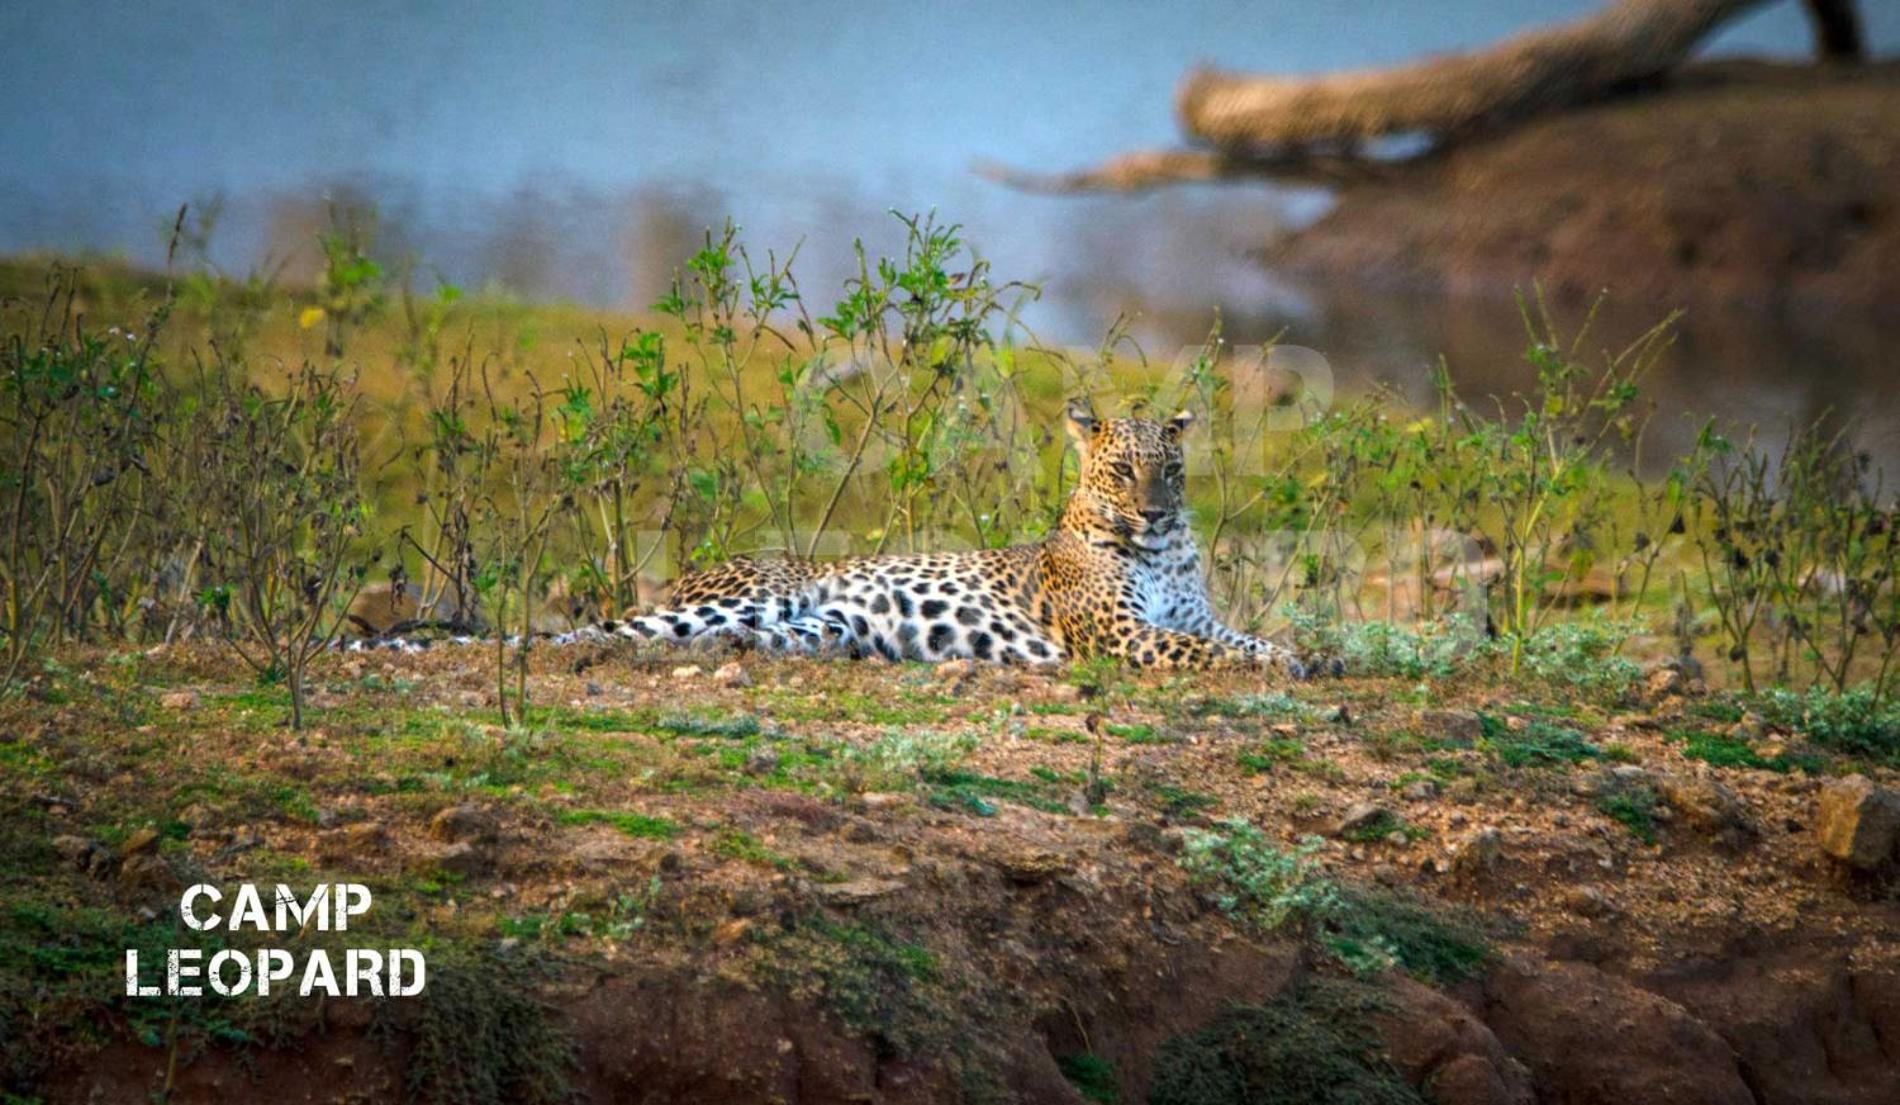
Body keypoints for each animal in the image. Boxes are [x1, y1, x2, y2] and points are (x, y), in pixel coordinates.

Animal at [602, 401, 1306, 674]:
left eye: (1171, 471)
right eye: (1123, 470)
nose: (1156, 513)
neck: (1161, 552)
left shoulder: (1196, 617)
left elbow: (1241, 637)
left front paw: (1299, 657)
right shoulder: (1124, 632)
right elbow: (1205, 651)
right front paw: (1270, 665)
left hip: (818, 627)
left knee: (716, 637)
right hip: (757, 595)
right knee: (621, 628)